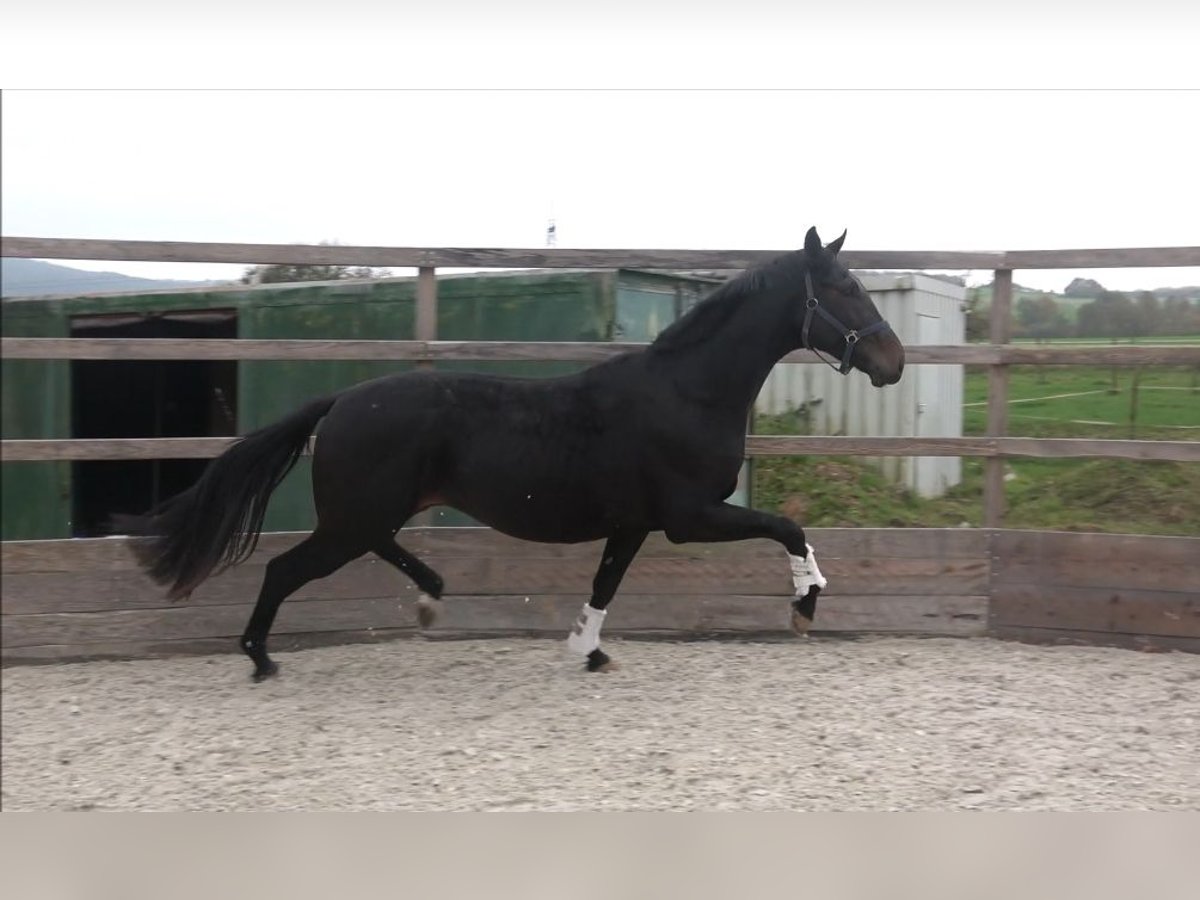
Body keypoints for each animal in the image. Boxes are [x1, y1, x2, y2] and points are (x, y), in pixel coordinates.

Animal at [119, 229, 902, 681]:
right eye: (844, 287)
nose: (892, 362)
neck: (687, 391)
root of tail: (341, 401)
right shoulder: (690, 516)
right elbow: (788, 528)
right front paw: (805, 605)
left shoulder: (635, 523)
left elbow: (605, 585)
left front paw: (588, 651)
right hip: (350, 519)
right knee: (286, 568)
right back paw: (260, 657)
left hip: (367, 514)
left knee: (379, 549)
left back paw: (430, 599)